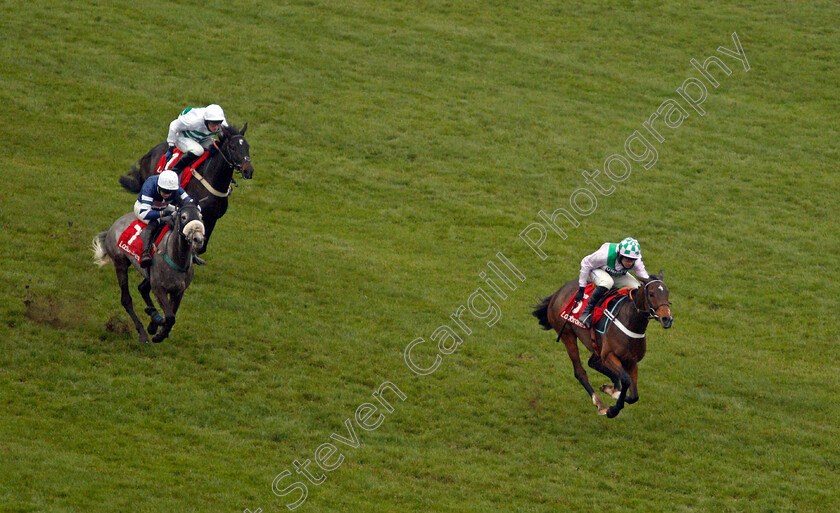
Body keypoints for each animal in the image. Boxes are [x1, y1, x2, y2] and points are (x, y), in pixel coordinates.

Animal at [92, 202, 205, 342]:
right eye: (184, 217)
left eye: (200, 216)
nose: (198, 239)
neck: (176, 258)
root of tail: (113, 226)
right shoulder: (159, 288)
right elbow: (169, 317)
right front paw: (155, 324)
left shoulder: (179, 291)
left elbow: (171, 315)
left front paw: (157, 327)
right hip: (120, 264)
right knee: (126, 299)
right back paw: (143, 333)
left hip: (148, 275)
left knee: (142, 288)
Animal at [117, 124, 253, 256]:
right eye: (233, 147)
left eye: (247, 147)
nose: (249, 171)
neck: (211, 181)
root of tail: (150, 153)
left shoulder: (212, 218)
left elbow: (200, 248)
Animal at [536, 270, 672, 418]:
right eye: (651, 294)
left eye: (667, 293)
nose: (667, 319)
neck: (630, 322)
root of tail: (557, 293)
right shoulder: (609, 355)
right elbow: (625, 380)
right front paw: (613, 408)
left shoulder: (631, 361)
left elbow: (634, 396)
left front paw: (611, 390)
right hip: (568, 335)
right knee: (580, 372)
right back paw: (600, 404)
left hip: (596, 345)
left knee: (593, 363)